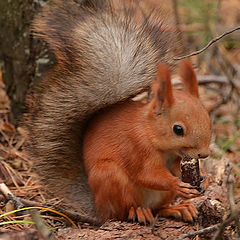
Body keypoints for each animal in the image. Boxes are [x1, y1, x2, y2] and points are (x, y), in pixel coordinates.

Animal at [24, 0, 211, 225]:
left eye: (208, 119)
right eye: (178, 129)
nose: (204, 154)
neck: (151, 132)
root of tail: (98, 206)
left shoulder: (176, 158)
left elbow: (175, 168)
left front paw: (205, 178)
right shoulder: (137, 148)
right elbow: (147, 174)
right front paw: (177, 184)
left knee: (158, 209)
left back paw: (177, 208)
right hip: (110, 177)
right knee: (121, 212)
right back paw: (137, 211)